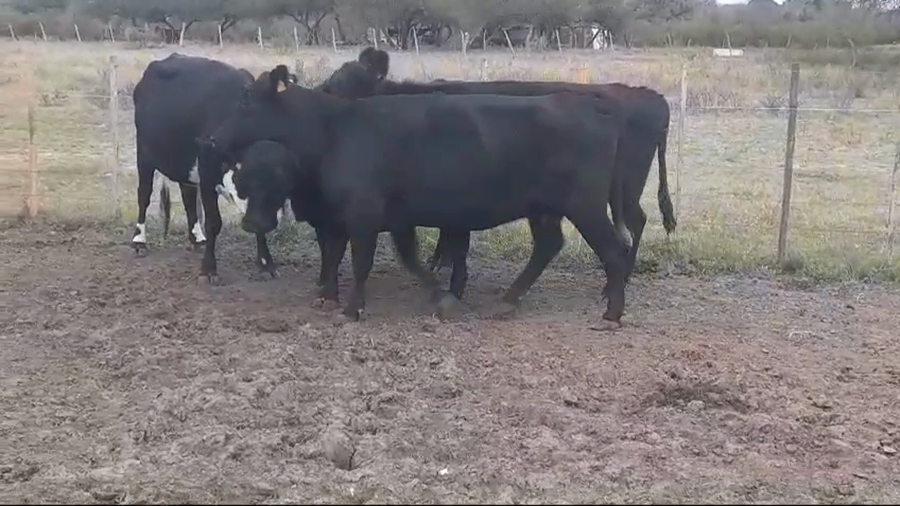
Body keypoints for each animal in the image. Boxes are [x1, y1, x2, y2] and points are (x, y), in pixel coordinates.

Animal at [132, 53, 296, 281]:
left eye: (281, 183)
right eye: (250, 178)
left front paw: (266, 263)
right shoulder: (207, 172)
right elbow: (213, 223)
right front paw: (209, 269)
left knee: (188, 197)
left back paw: (196, 238)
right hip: (144, 154)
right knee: (144, 195)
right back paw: (139, 241)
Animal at [205, 64, 630, 330]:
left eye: (245, 99)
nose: (212, 139)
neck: (334, 130)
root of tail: (588, 105)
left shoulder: (363, 214)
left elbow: (361, 261)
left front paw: (351, 309)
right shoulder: (368, 216)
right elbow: (367, 256)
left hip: (586, 204)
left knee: (614, 250)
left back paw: (611, 314)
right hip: (545, 208)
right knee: (548, 245)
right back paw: (508, 300)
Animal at [335, 48, 676, 284]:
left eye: (351, 83)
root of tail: (651, 96)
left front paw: (441, 263)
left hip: (625, 187)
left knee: (636, 222)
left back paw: (625, 273)